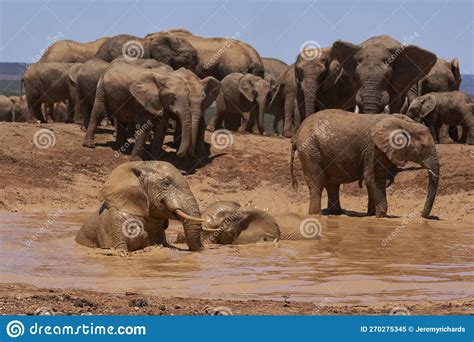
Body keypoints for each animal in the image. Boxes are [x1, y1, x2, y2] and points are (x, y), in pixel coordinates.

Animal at [292, 109, 440, 218]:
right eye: (423, 148)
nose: (421, 215)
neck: (404, 124)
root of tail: (298, 131)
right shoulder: (373, 149)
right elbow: (373, 178)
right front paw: (381, 216)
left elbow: (375, 180)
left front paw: (372, 214)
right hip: (309, 149)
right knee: (317, 182)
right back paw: (316, 214)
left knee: (332, 185)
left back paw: (335, 213)